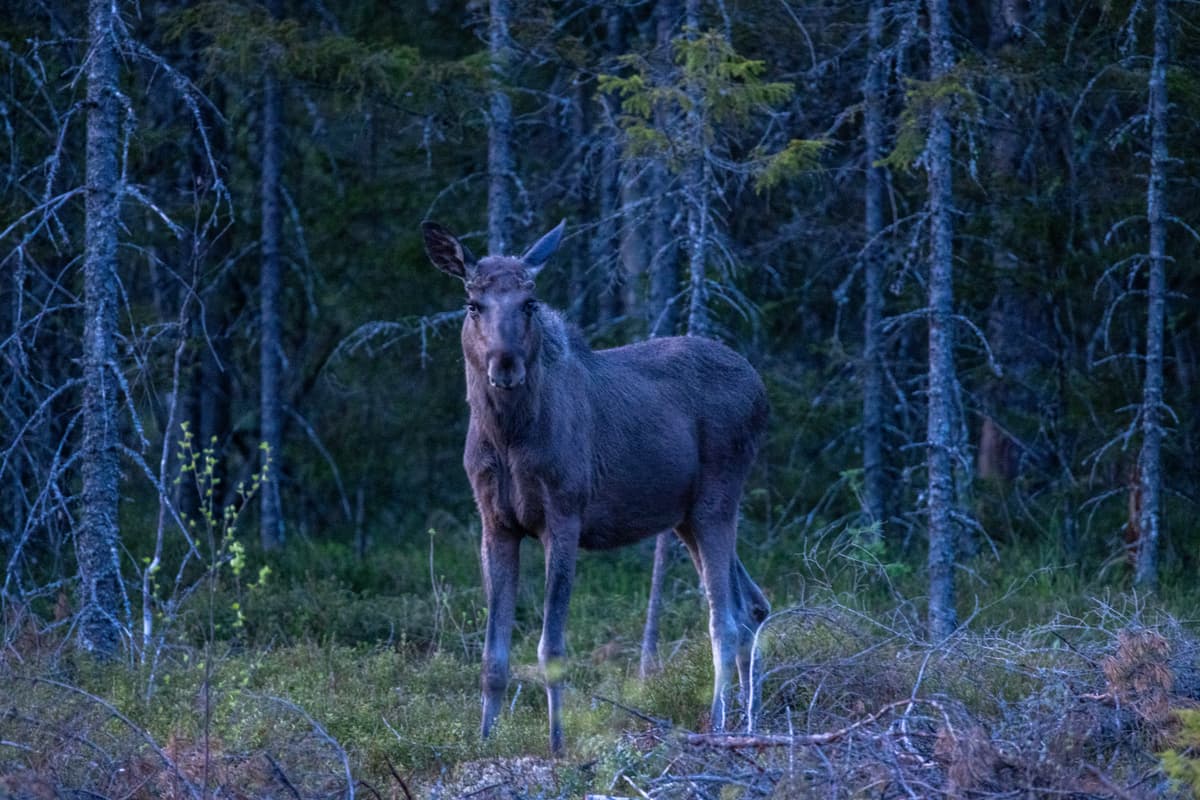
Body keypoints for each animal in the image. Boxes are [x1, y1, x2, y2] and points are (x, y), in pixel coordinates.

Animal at [421, 219, 770, 755]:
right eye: (472, 302)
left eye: (530, 302)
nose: (505, 363)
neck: (508, 438)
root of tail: (761, 391)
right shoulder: (495, 523)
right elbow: (492, 656)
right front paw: (484, 740)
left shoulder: (565, 515)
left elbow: (551, 647)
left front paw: (557, 744)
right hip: (687, 516)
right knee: (753, 603)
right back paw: (750, 725)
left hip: (719, 497)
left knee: (725, 618)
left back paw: (719, 727)